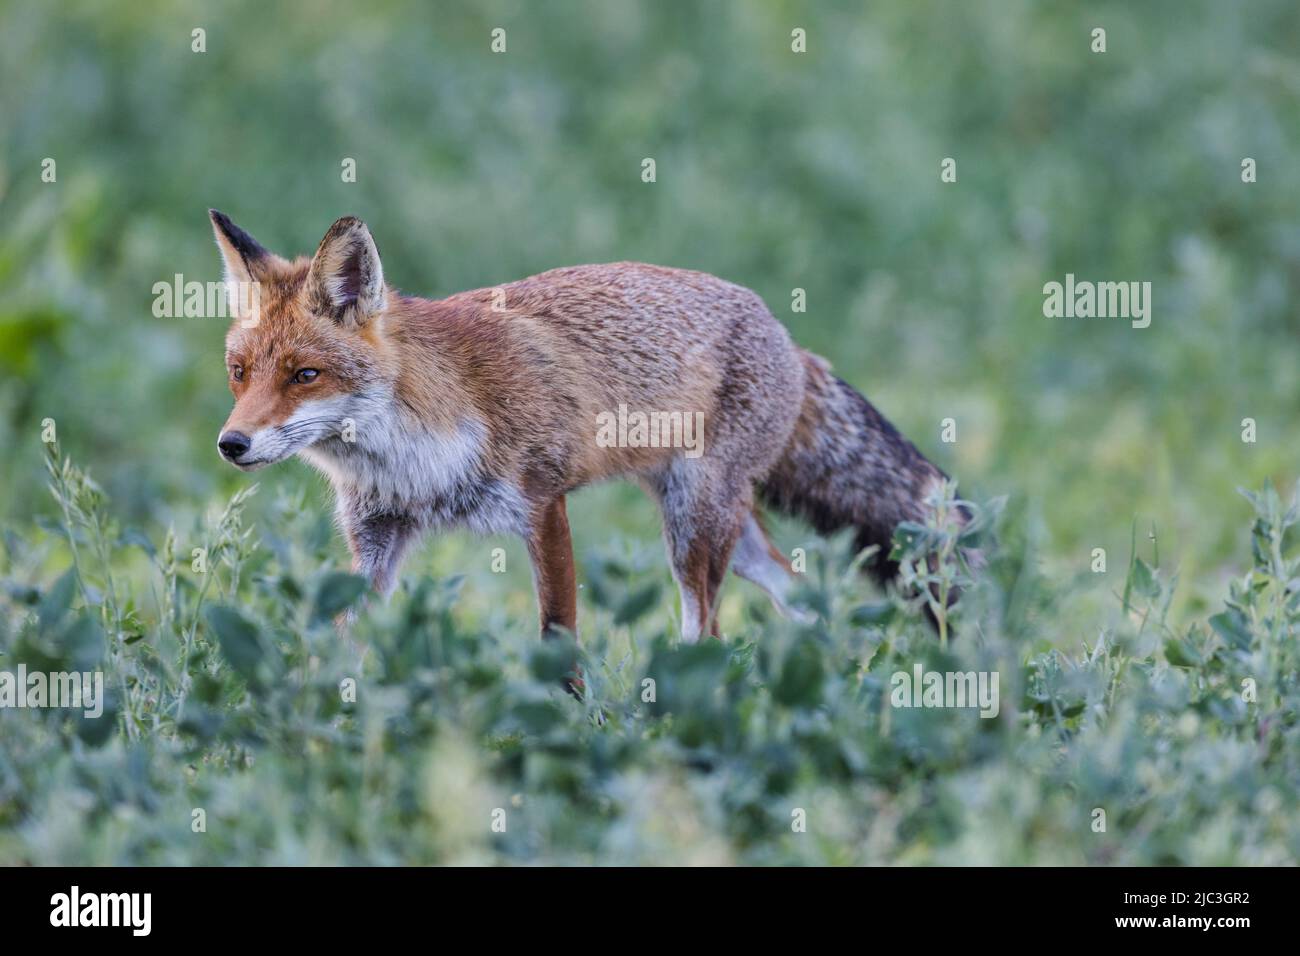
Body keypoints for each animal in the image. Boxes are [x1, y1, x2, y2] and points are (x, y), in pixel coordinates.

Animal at [210, 213, 956, 647]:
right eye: (239, 375)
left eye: (305, 375)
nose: (231, 445)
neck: (408, 450)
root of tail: (790, 340)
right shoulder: (379, 535)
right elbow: (342, 638)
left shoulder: (543, 505)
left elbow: (558, 636)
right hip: (723, 530)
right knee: (800, 591)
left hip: (693, 528)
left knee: (706, 629)